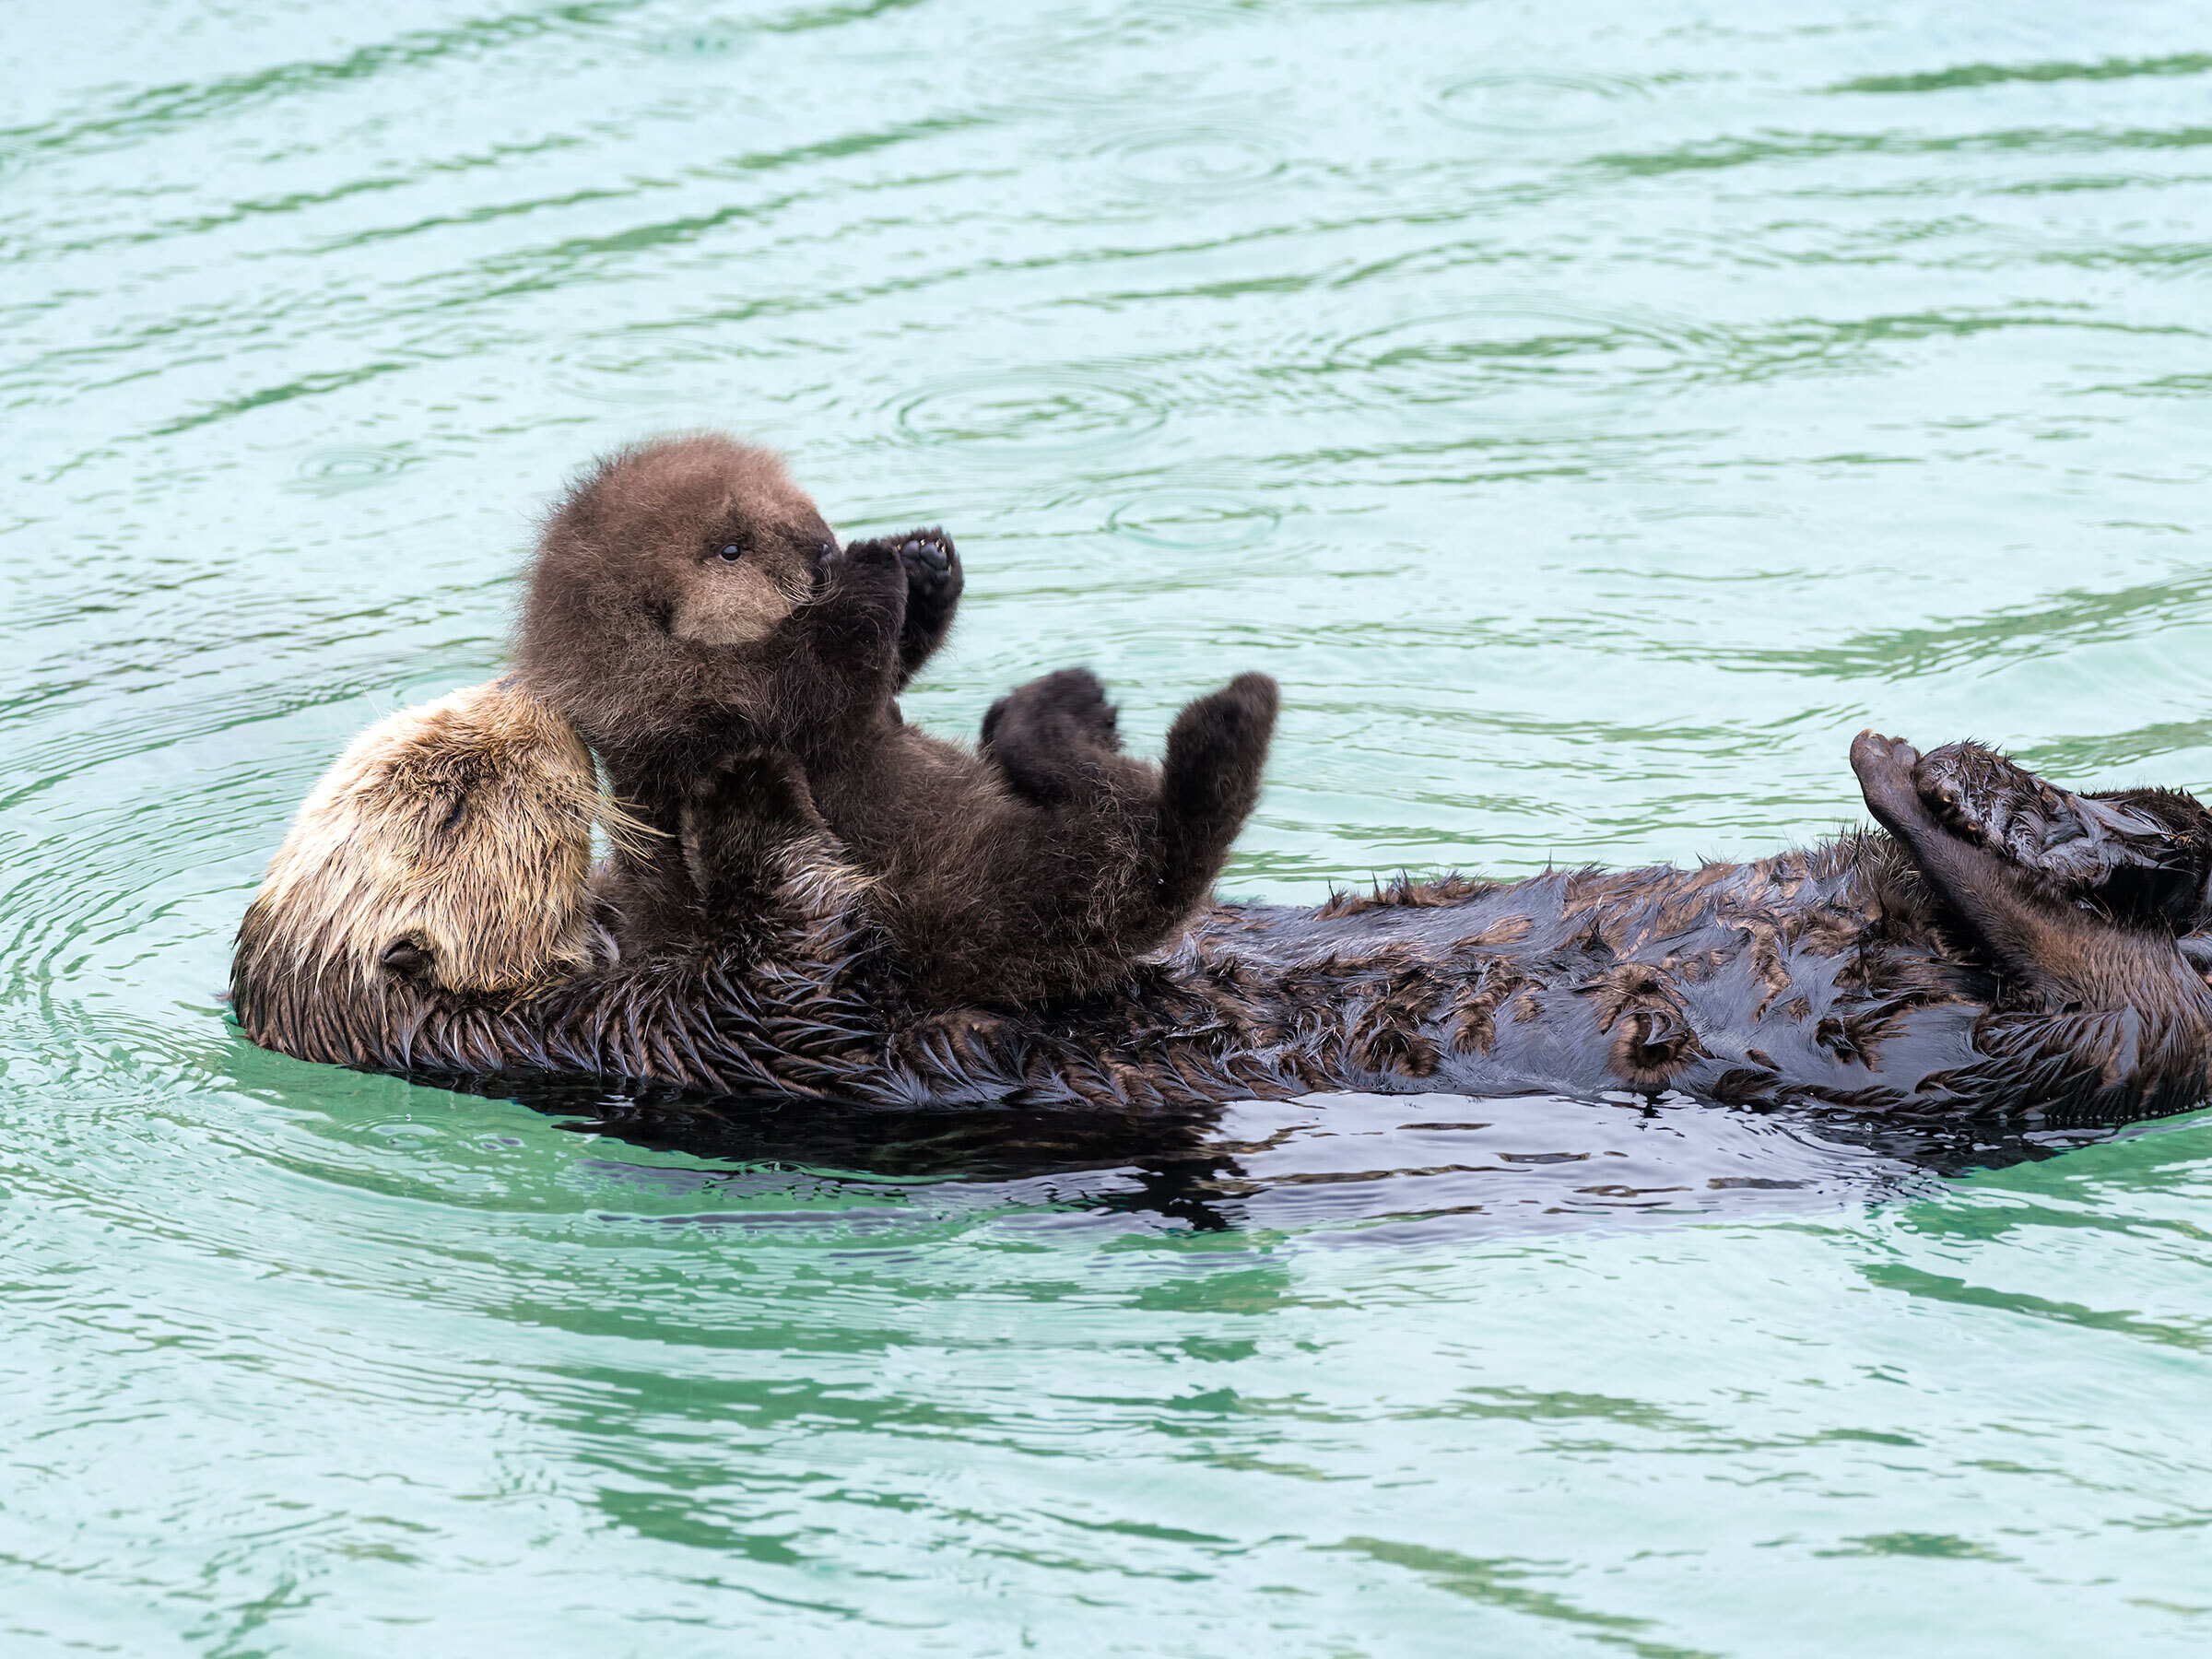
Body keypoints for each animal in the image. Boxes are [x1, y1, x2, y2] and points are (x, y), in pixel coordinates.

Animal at [510, 433, 1279, 1008]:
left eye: (792, 503)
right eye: (731, 549)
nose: (822, 544)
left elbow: (886, 676)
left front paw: (926, 560)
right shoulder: (724, 703)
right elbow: (832, 679)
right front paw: (872, 566)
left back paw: (1062, 702)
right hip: (1011, 894)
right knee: (1151, 835)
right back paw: (1213, 715)